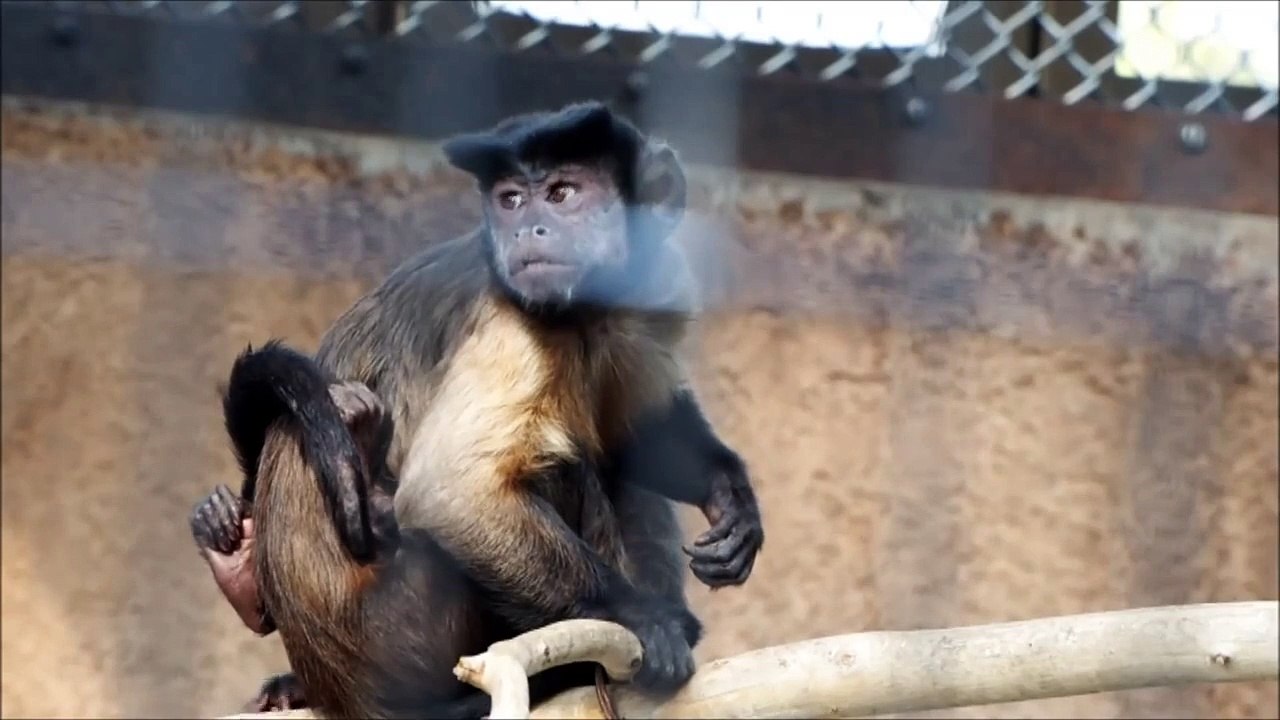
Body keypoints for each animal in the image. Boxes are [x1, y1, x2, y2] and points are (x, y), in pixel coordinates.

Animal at [189, 101, 765, 718]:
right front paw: (647, 619)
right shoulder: (511, 322)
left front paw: (729, 496)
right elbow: (448, 493)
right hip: (407, 629)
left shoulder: (656, 281)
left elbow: (638, 427)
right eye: (510, 199)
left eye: (562, 193)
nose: (526, 228)